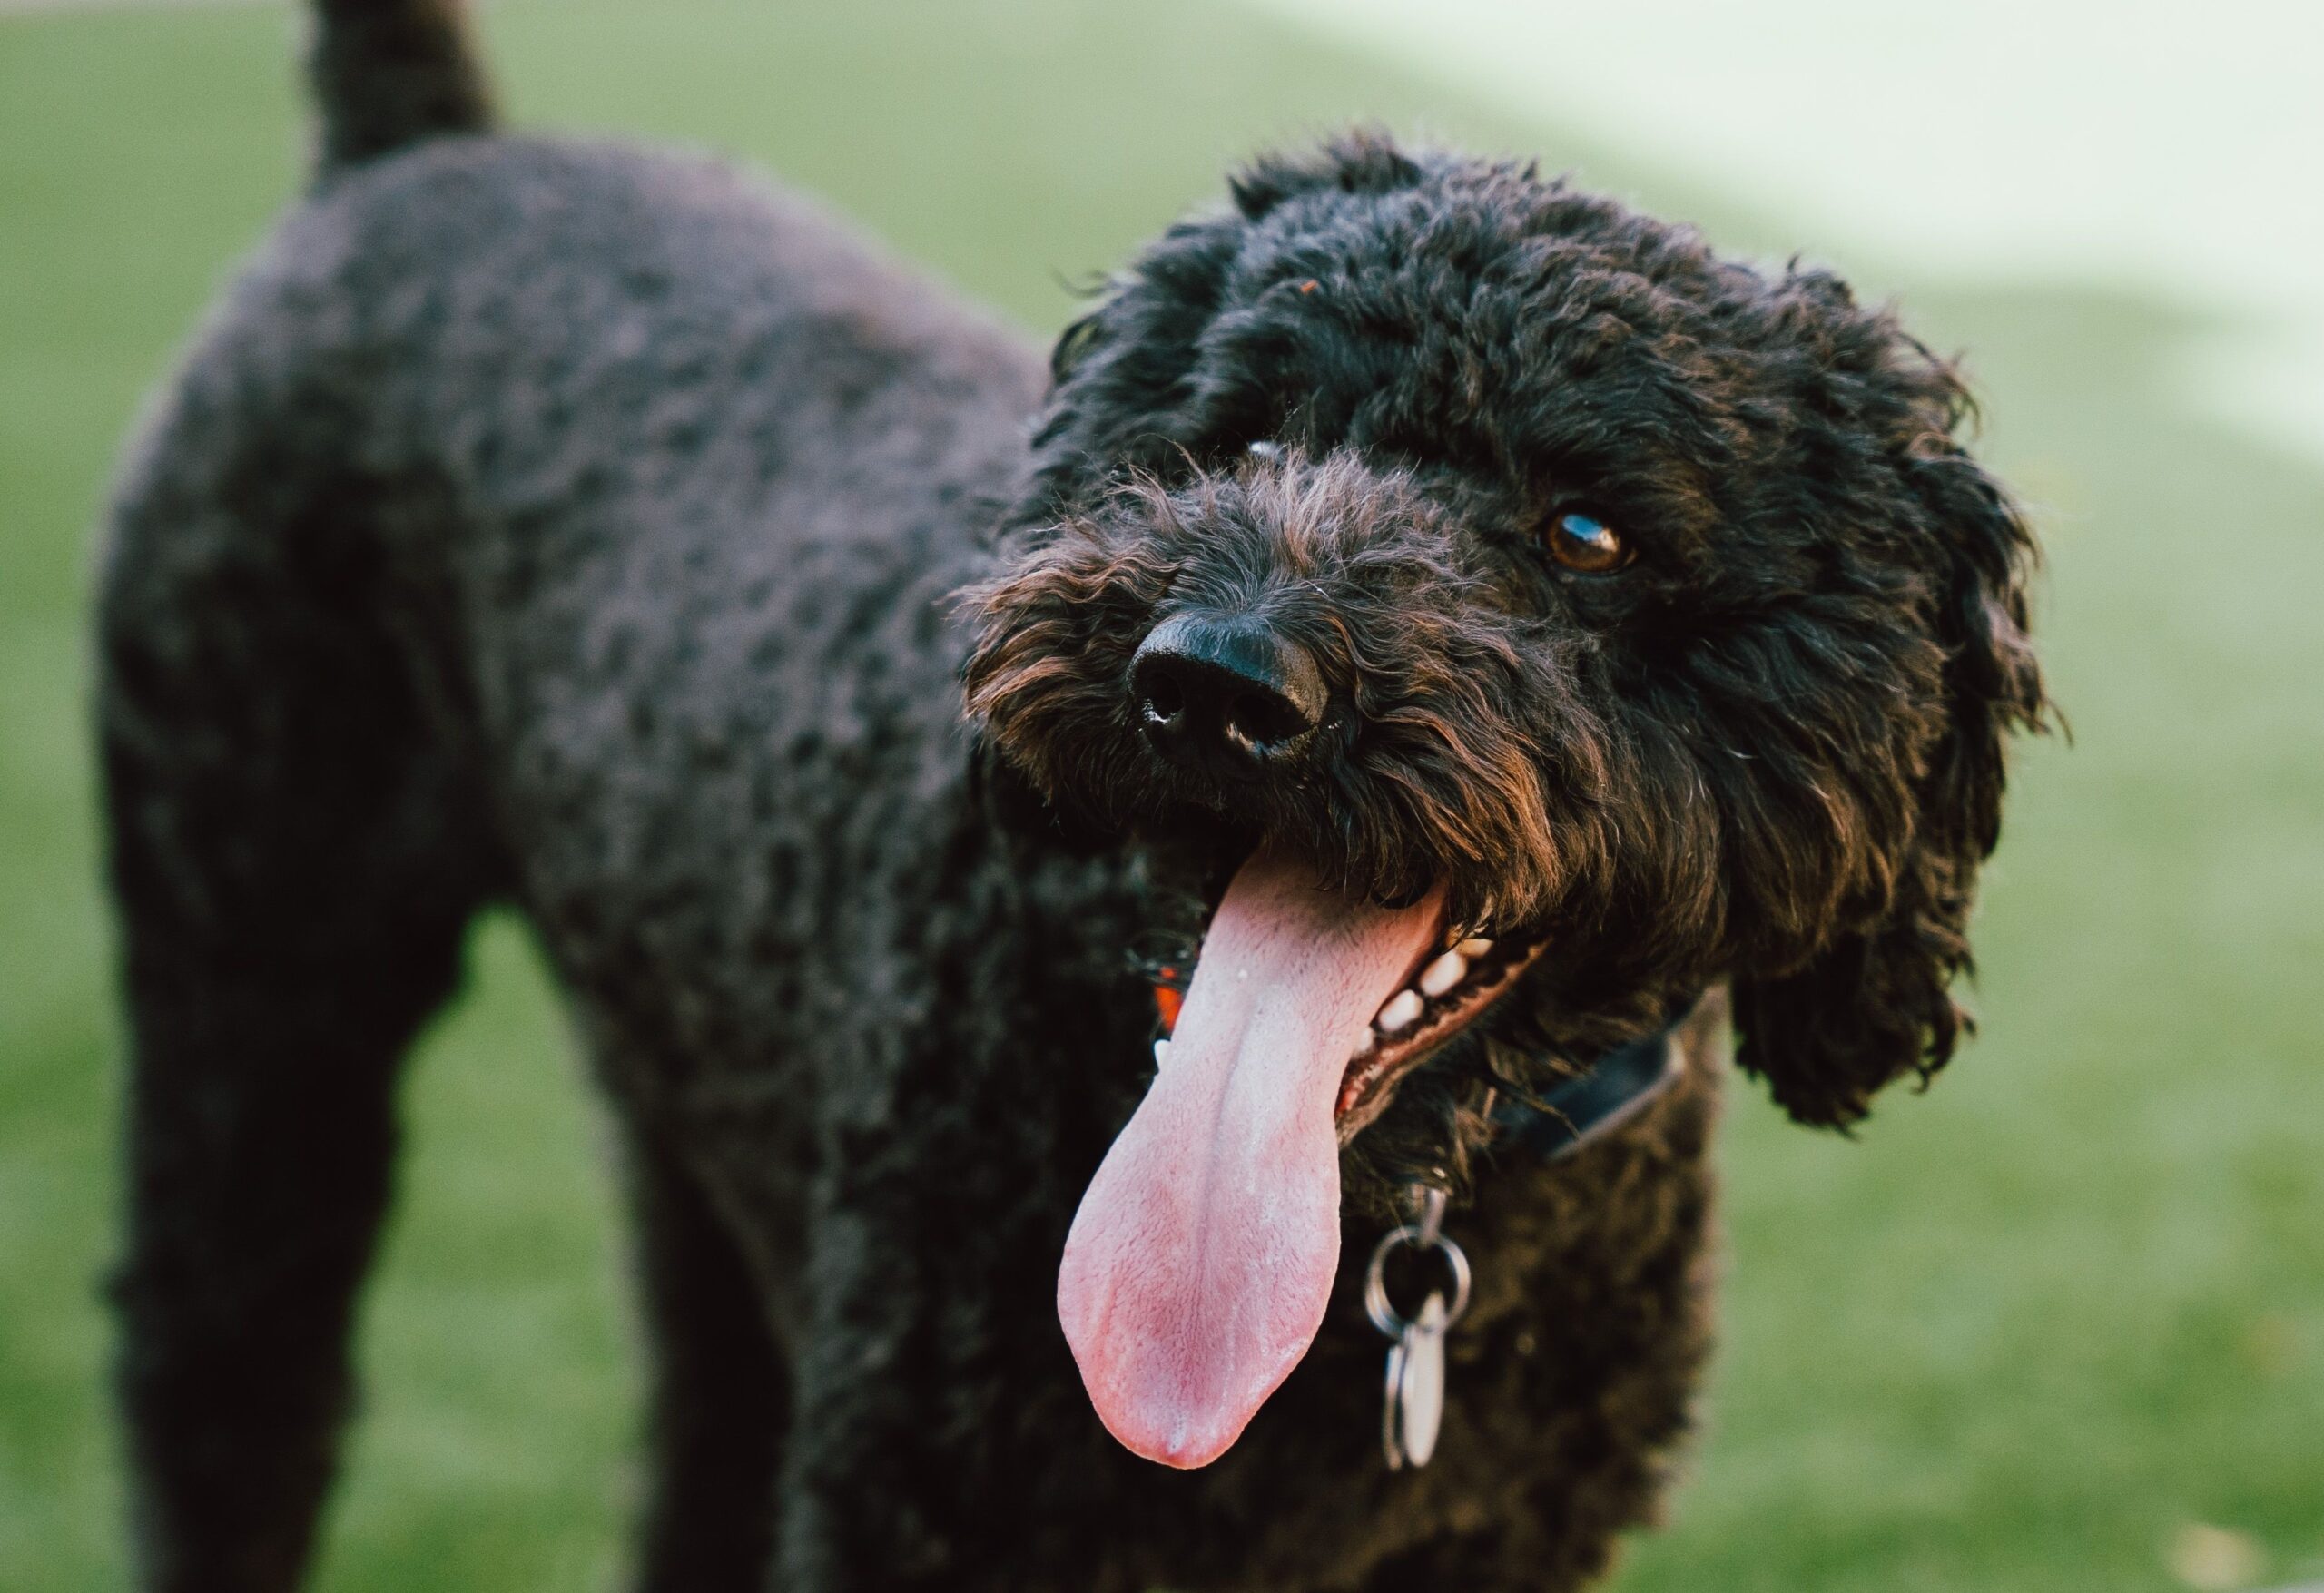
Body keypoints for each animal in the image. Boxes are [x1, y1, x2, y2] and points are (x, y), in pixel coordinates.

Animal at [100, 5, 2044, 1588]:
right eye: (1243, 437)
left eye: (1585, 532)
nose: (1218, 681)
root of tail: (421, 150)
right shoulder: (934, 1513)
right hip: (250, 998)